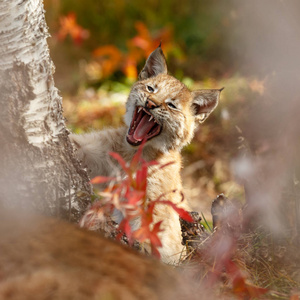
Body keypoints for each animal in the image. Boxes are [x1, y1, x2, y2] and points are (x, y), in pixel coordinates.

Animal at [69, 45, 221, 264]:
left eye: (171, 105)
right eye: (151, 89)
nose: (150, 103)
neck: (132, 151)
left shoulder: (154, 202)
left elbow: (154, 229)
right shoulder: (94, 155)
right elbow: (73, 140)